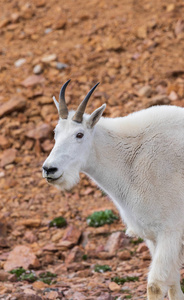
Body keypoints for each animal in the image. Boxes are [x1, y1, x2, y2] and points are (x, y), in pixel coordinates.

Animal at [42, 80, 184, 300]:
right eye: (55, 133)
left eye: (79, 134)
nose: (50, 169)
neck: (130, 161)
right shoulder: (153, 236)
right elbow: (173, 285)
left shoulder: (171, 230)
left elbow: (155, 286)